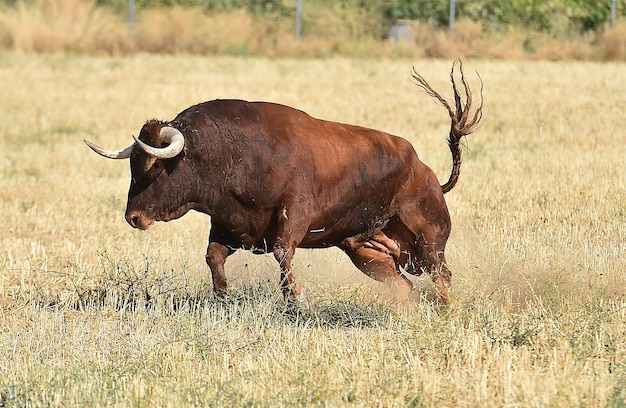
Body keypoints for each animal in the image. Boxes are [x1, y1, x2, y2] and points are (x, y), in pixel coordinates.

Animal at [84, 59, 482, 302]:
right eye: (133, 165)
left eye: (153, 166)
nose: (133, 217)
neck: (231, 153)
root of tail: (426, 173)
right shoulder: (230, 226)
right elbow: (214, 257)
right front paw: (223, 297)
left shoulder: (293, 214)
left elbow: (282, 254)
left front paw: (296, 298)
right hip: (370, 253)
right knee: (404, 286)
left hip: (427, 241)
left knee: (442, 276)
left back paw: (446, 311)